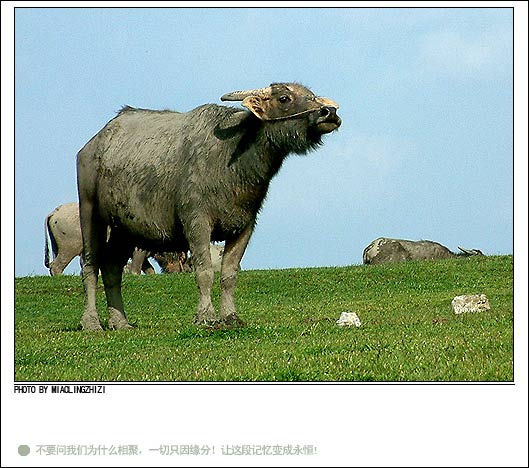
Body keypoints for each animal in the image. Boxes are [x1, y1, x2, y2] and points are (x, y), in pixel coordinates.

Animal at [76, 82, 341, 330]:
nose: (329, 112)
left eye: (312, 96)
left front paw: (231, 316)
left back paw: (120, 321)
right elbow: (204, 271)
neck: (232, 158)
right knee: (90, 265)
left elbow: (229, 274)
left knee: (111, 266)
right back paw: (91, 322)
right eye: (284, 98)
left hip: (124, 228)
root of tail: (92, 146)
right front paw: (205, 316)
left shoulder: (245, 225)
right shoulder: (197, 222)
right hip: (90, 212)